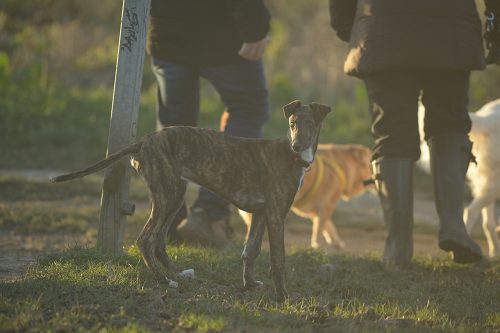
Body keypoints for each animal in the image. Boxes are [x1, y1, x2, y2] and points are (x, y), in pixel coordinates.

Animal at [51, 100, 332, 300]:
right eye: (293, 122)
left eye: (310, 123)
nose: (296, 146)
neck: (292, 158)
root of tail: (142, 140)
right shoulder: (276, 215)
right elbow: (278, 259)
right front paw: (282, 296)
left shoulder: (261, 214)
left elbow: (250, 251)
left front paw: (250, 285)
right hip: (168, 195)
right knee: (145, 239)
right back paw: (165, 281)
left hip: (172, 196)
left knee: (159, 239)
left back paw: (177, 273)